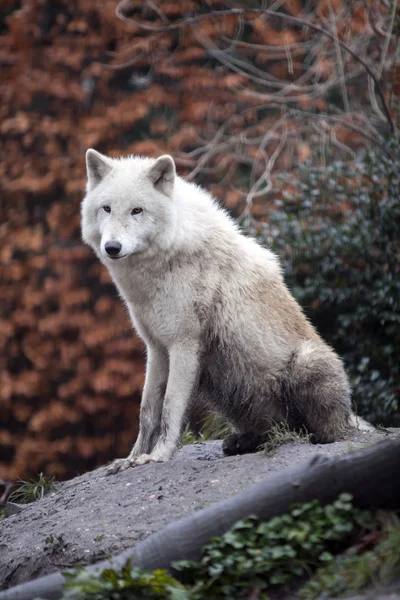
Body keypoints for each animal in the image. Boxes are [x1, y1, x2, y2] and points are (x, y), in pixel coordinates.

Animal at [82, 149, 376, 474]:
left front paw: (158, 456)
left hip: (307, 363)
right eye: (107, 209)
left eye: (137, 210)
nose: (112, 247)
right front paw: (132, 459)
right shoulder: (156, 348)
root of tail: (349, 418)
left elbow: (171, 407)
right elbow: (147, 411)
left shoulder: (184, 345)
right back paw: (243, 442)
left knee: (321, 433)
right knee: (277, 430)